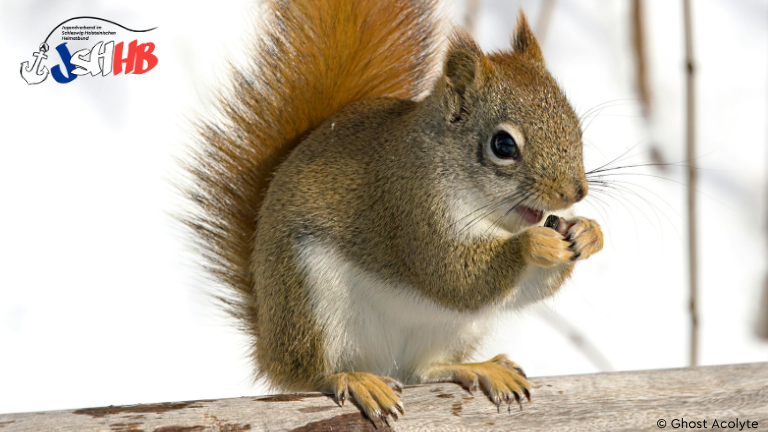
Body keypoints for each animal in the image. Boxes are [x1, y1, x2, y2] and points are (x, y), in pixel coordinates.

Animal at [183, 0, 604, 420]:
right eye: (503, 145)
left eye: (576, 127)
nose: (574, 191)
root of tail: (268, 343)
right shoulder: (409, 206)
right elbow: (451, 276)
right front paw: (534, 244)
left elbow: (519, 290)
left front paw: (589, 233)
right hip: (309, 301)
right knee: (308, 373)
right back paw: (353, 379)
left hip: (453, 331)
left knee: (424, 369)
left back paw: (480, 368)